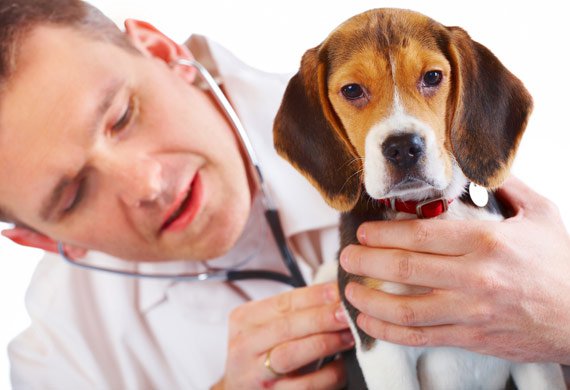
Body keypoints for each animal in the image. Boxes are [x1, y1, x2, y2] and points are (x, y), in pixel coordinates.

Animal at [272, 6, 560, 390]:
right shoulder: (384, 347)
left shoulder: (527, 347)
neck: (428, 210)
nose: (403, 147)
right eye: (352, 90)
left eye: (433, 76)